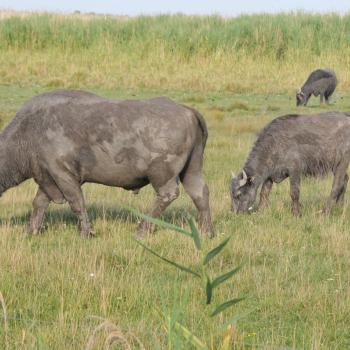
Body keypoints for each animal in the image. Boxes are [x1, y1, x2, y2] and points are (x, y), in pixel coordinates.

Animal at [0, 89, 213, 238]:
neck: (30, 131)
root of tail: (187, 111)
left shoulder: (63, 174)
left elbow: (76, 202)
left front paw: (86, 232)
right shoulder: (47, 176)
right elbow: (39, 204)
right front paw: (30, 231)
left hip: (163, 173)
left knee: (167, 195)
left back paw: (142, 230)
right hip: (192, 168)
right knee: (200, 193)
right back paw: (207, 232)